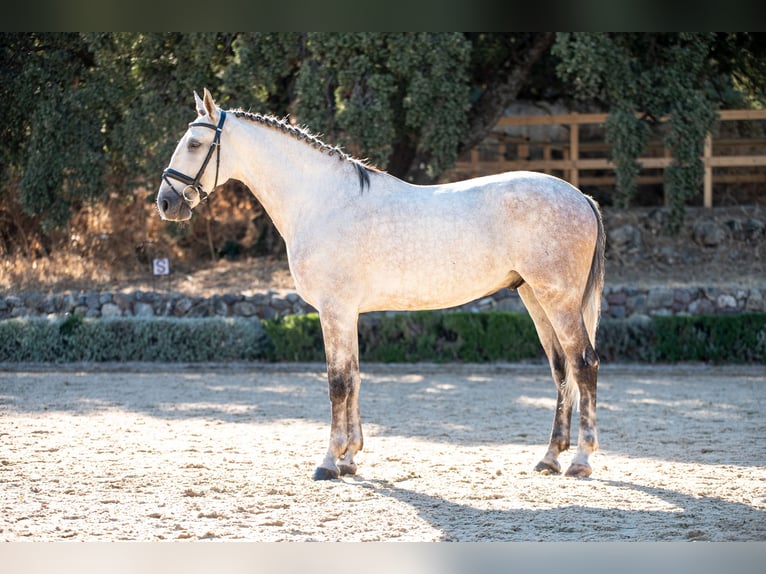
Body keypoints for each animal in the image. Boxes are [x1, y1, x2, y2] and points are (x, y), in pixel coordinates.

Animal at [159, 90, 608, 484]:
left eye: (195, 143)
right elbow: (355, 376)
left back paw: (581, 461)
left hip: (558, 299)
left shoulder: (334, 310)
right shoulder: (348, 312)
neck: (322, 200)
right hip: (534, 296)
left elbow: (338, 381)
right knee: (561, 369)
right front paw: (350, 458)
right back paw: (549, 457)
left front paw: (328, 462)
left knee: (584, 364)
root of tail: (581, 196)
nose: (166, 202)